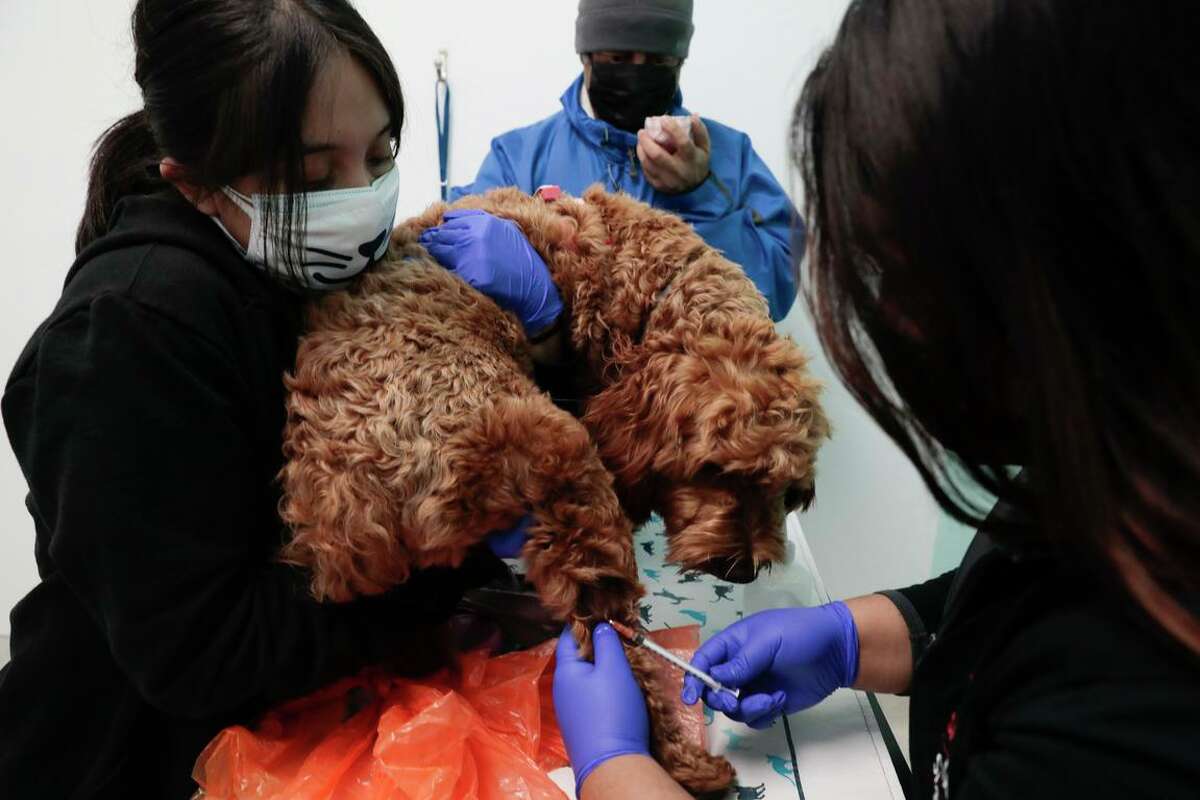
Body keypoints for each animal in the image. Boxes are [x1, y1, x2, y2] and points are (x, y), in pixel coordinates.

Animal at [278, 185, 825, 796]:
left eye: (788, 492)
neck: (637, 278)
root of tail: (351, 501)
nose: (744, 571)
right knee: (610, 638)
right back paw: (678, 756)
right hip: (570, 474)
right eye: (718, 472)